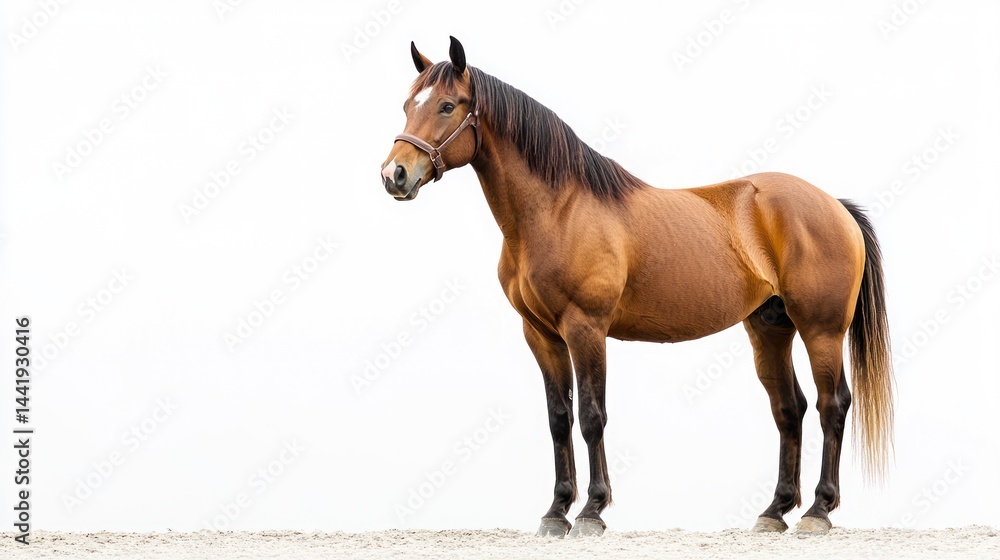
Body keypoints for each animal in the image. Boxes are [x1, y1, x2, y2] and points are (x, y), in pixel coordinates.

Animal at [379, 37, 894, 537]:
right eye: (407, 104)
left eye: (447, 105)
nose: (394, 175)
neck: (558, 210)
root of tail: (834, 206)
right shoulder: (540, 334)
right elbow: (559, 418)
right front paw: (555, 511)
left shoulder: (585, 329)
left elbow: (592, 416)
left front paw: (592, 511)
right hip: (770, 328)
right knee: (789, 409)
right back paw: (775, 511)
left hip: (820, 329)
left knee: (832, 405)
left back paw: (818, 511)